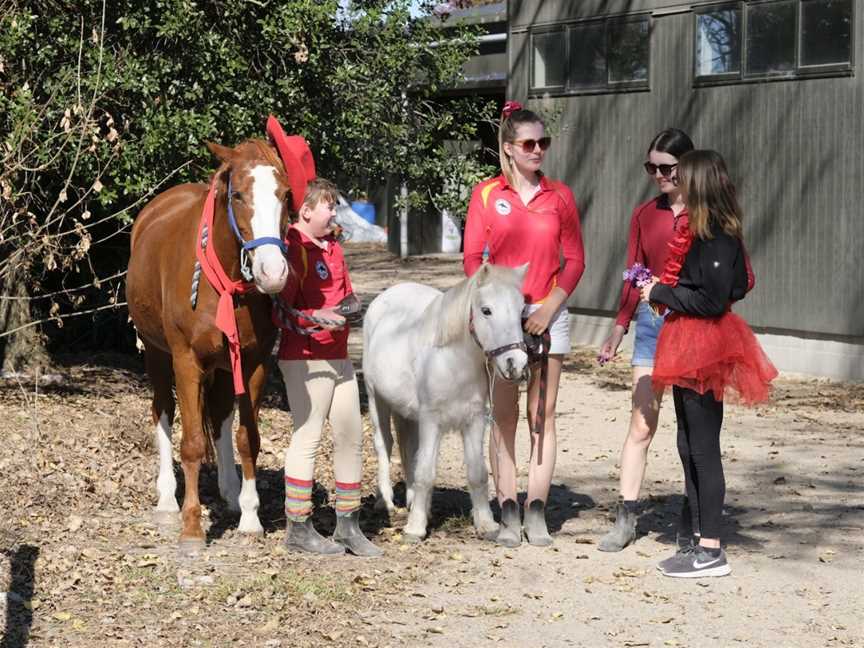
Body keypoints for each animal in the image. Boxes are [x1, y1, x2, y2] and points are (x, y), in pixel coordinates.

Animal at [125, 140, 294, 548]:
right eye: (238, 195)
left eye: (285, 195)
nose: (273, 272)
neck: (223, 281)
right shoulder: (186, 361)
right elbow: (192, 444)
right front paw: (191, 526)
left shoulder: (254, 362)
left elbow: (248, 438)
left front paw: (250, 517)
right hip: (157, 355)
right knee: (163, 411)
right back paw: (167, 500)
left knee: (219, 417)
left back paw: (230, 493)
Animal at [362, 264, 528, 540]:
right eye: (486, 310)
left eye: (521, 310)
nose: (515, 364)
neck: (452, 362)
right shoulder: (431, 421)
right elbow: (426, 472)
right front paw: (415, 528)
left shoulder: (474, 420)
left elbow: (477, 472)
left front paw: (486, 524)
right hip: (377, 399)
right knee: (384, 445)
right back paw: (384, 500)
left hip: (408, 414)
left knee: (409, 448)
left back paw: (412, 501)